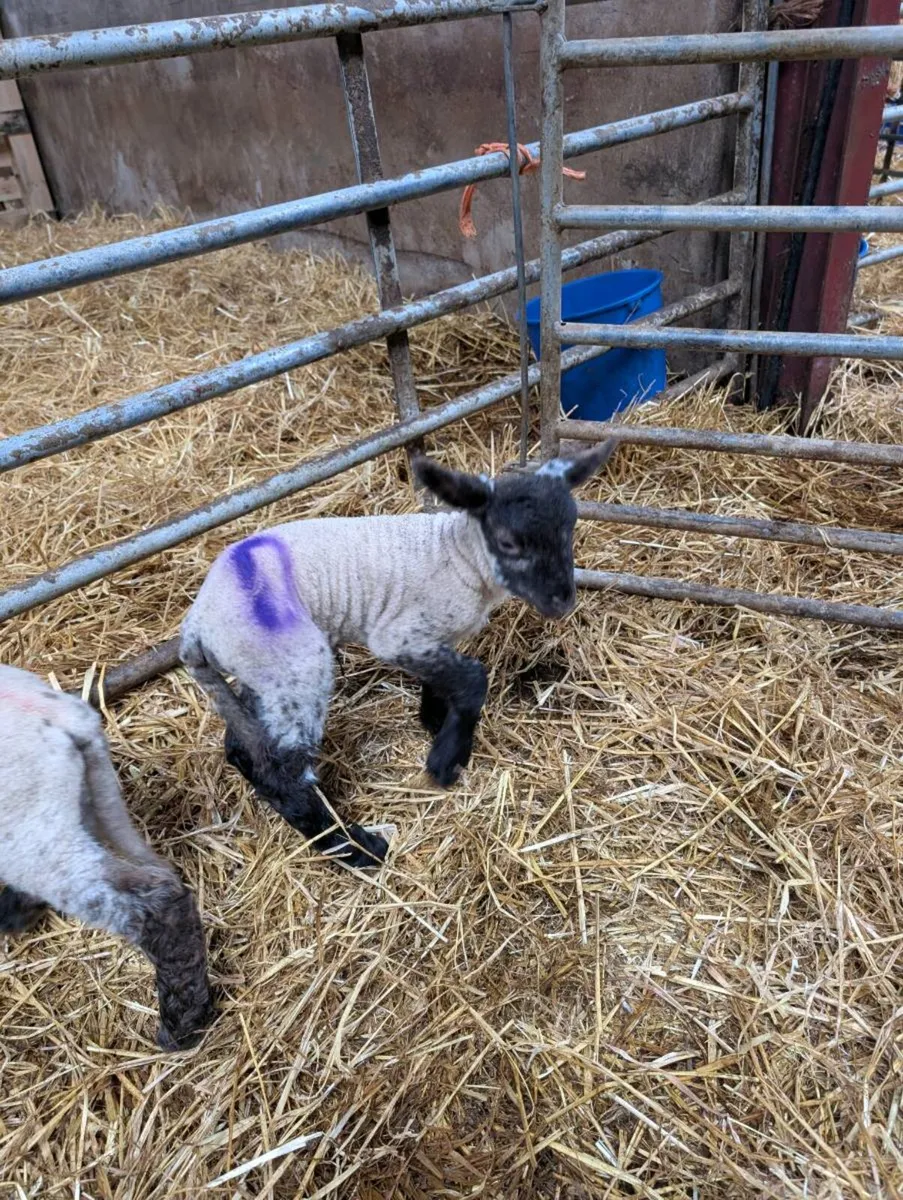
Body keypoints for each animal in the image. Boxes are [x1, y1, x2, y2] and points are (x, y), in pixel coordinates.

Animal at [180, 445, 612, 869]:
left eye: (570, 528)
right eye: (507, 542)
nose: (562, 601)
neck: (460, 555)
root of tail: (195, 628)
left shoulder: (432, 637)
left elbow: (443, 682)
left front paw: (436, 723)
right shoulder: (396, 637)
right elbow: (473, 679)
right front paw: (446, 759)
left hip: (263, 673)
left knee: (244, 749)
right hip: (296, 666)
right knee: (282, 773)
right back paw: (356, 848)